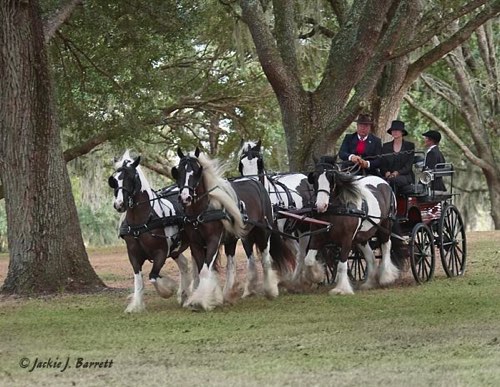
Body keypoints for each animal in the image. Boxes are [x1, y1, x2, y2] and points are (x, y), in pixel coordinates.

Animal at [108, 150, 193, 314]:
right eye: (114, 180)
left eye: (131, 177)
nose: (119, 204)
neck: (141, 222)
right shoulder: (133, 255)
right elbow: (138, 279)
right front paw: (136, 305)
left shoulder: (161, 252)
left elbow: (153, 276)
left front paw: (168, 289)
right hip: (176, 249)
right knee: (184, 264)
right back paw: (184, 294)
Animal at [172, 147, 296, 310]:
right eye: (178, 171)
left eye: (196, 171)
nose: (185, 197)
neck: (200, 212)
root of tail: (256, 182)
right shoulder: (196, 244)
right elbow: (202, 270)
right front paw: (210, 298)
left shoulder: (213, 241)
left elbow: (205, 270)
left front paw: (200, 301)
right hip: (239, 237)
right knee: (231, 265)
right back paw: (227, 294)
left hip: (263, 232)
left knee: (265, 260)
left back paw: (270, 290)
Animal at [237, 140, 316, 288]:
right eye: (241, 164)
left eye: (260, 163)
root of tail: (305, 177)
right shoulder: (247, 235)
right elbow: (252, 262)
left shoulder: (270, 234)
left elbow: (270, 259)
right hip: (288, 232)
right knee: (297, 252)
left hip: (304, 228)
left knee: (301, 254)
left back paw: (298, 280)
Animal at [304, 156, 406, 296]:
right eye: (314, 177)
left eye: (331, 177)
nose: (320, 206)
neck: (335, 210)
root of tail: (384, 182)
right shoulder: (317, 236)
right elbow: (308, 260)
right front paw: (317, 276)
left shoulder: (347, 239)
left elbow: (342, 265)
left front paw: (341, 289)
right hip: (362, 236)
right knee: (370, 257)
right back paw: (369, 283)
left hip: (385, 226)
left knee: (386, 246)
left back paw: (386, 277)